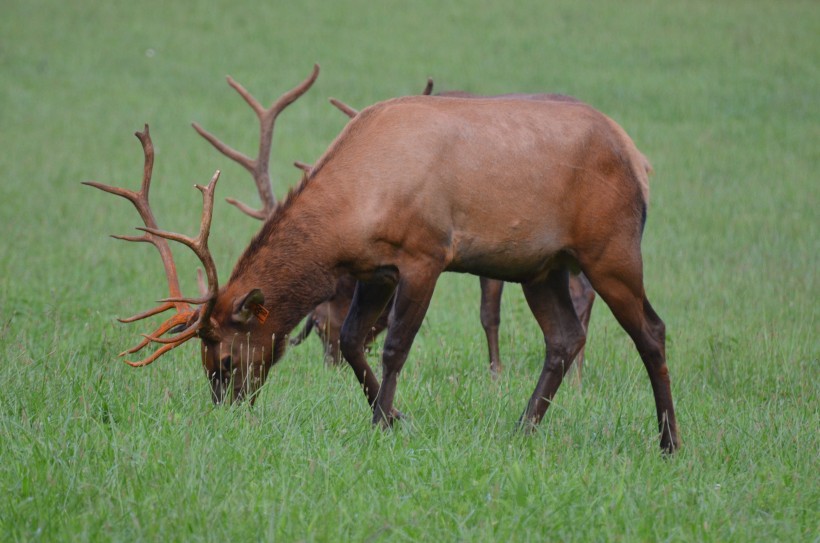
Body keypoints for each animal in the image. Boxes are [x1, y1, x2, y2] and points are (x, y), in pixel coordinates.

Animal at [88, 73, 680, 454]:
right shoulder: (375, 270)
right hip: (542, 265)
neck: (353, 213)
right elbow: (353, 341)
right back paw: (522, 429)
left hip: (610, 248)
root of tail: (638, 158)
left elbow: (395, 345)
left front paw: (381, 425)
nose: (227, 413)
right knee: (564, 337)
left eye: (227, 360)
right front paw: (396, 417)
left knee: (651, 330)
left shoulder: (425, 255)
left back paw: (669, 441)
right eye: (204, 361)